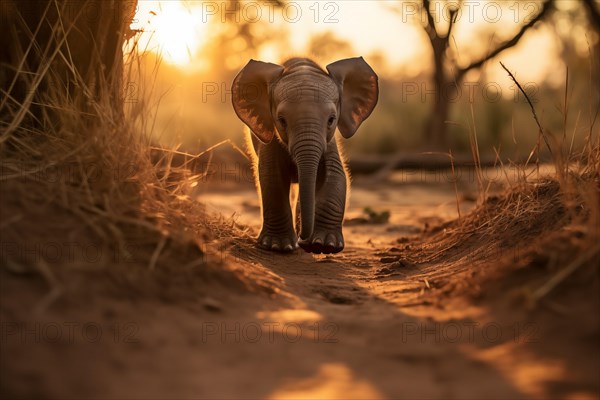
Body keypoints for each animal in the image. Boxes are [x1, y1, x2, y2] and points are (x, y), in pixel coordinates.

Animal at [232, 57, 378, 253]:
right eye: (282, 120)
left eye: (331, 120)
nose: (303, 240)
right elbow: (272, 176)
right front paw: (277, 246)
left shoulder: (329, 141)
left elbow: (336, 174)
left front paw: (324, 246)